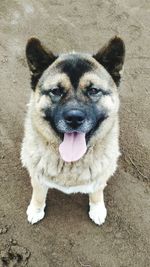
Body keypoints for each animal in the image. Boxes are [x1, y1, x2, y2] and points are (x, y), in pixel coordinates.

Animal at [20, 36, 125, 226]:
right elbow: (39, 194)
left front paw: (97, 208)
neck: (70, 163)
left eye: (93, 90)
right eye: (56, 91)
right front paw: (36, 209)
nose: (74, 118)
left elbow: (97, 192)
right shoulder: (38, 178)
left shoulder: (101, 177)